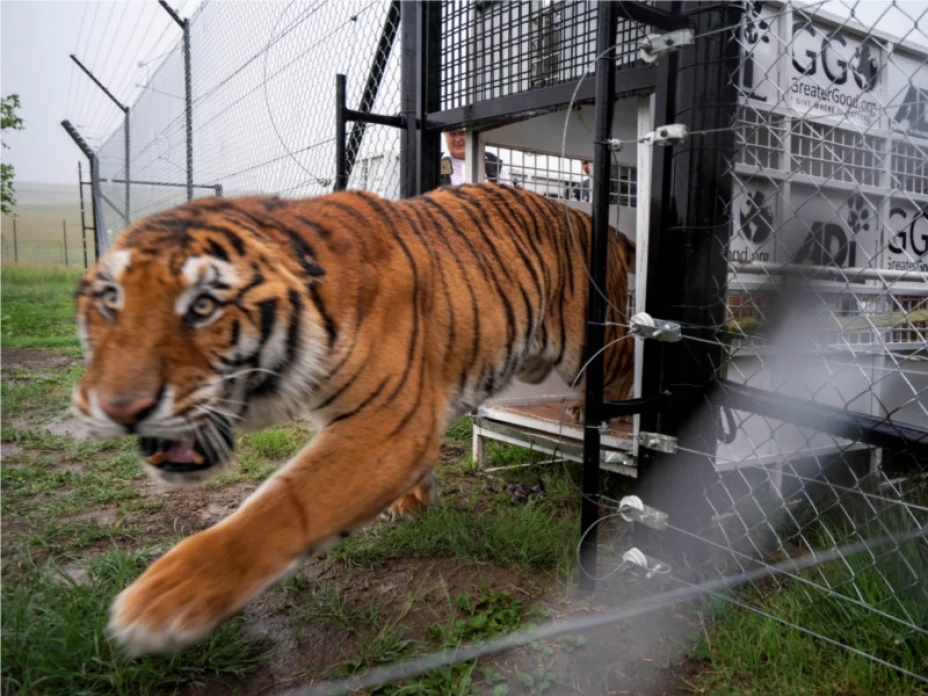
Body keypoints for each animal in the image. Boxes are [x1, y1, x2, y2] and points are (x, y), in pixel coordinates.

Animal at [71, 182, 635, 655]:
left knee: (627, 365)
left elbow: (283, 504)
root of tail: (597, 221)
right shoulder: (404, 413)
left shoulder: (386, 427)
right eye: (111, 300)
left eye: (203, 306)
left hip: (594, 345)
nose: (119, 408)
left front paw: (163, 598)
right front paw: (415, 500)